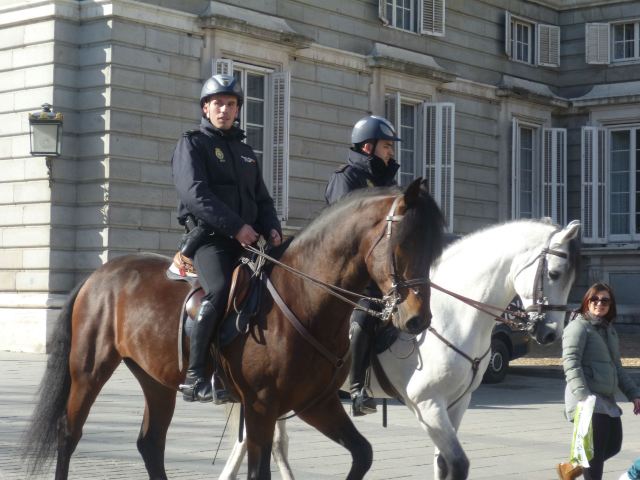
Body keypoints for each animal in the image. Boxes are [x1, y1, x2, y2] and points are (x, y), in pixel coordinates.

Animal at [23, 178, 444, 478]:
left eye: (435, 246)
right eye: (403, 243)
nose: (417, 318)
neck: (302, 297)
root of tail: (99, 273)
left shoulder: (316, 405)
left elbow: (363, 454)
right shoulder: (260, 408)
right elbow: (259, 472)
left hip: (156, 380)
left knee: (150, 444)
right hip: (89, 372)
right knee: (68, 435)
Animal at [219, 219, 580, 478]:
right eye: (554, 273)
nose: (550, 332)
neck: (453, 313)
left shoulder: (457, 403)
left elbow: (443, 463)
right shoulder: (427, 404)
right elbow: (456, 463)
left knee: (262, 442)